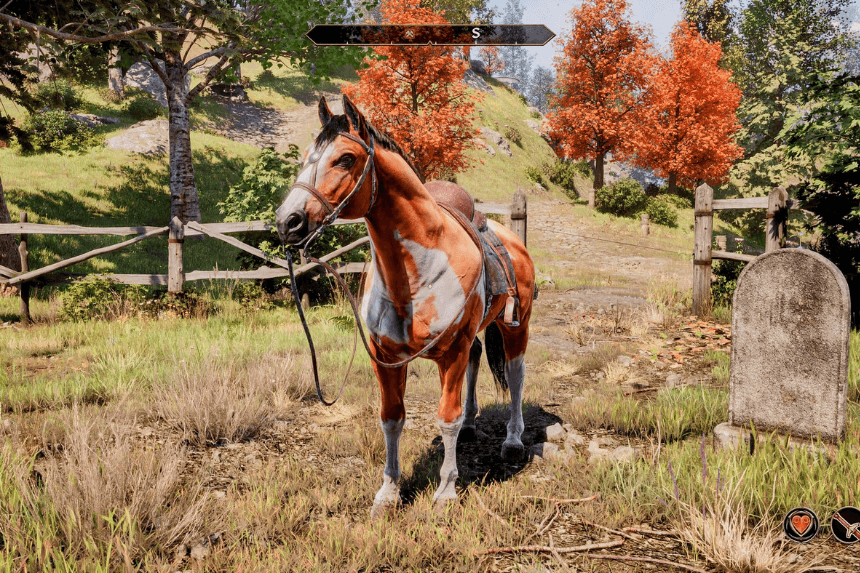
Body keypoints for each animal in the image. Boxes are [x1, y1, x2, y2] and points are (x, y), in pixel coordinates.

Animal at [275, 95, 535, 516]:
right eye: (304, 157)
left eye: (345, 158)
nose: (288, 222)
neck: (414, 277)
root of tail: (510, 236)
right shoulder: (386, 358)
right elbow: (392, 419)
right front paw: (389, 491)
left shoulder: (452, 353)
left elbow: (446, 417)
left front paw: (446, 490)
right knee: (479, 359)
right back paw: (471, 425)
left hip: (516, 326)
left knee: (515, 376)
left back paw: (513, 441)